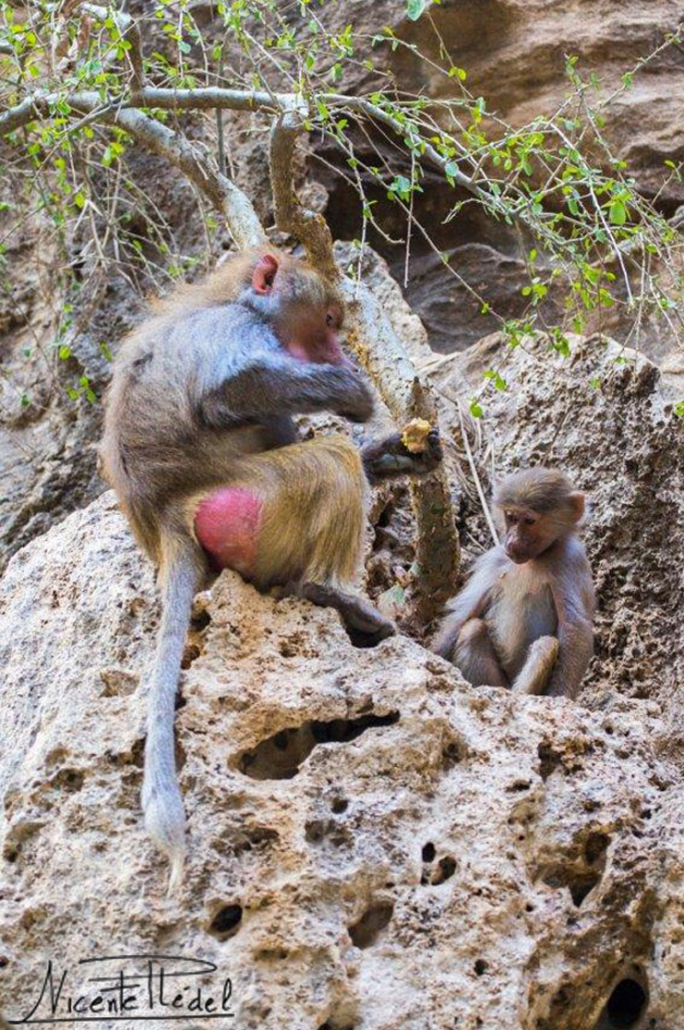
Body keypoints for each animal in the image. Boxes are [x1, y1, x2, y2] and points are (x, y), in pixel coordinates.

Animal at [99, 245, 442, 890]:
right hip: (260, 499)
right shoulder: (237, 330)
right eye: (328, 323)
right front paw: (350, 392)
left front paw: (400, 452)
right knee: (326, 461)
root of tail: (167, 519)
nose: (337, 354)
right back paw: (337, 595)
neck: (232, 297)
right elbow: (228, 391)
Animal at [433, 468, 594, 698]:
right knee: (473, 629)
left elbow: (575, 626)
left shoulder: (570, 560)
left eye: (529, 521)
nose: (512, 542)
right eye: (511, 517)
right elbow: (465, 614)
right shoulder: (495, 560)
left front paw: (559, 695)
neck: (533, 560)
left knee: (546, 644)